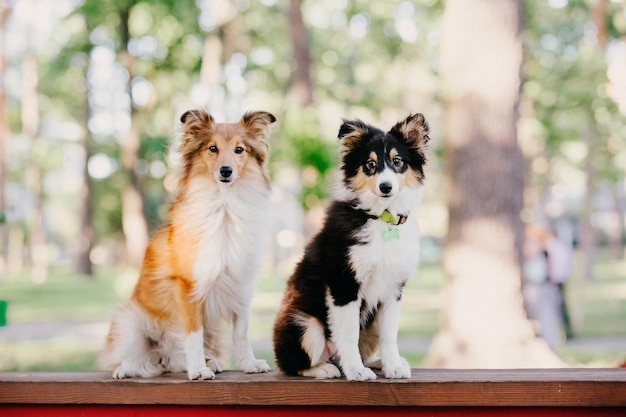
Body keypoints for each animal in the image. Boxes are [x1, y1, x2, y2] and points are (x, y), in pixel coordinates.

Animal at [100, 109, 276, 380]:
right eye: (212, 148)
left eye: (240, 149)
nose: (226, 171)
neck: (225, 205)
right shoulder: (187, 288)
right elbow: (193, 335)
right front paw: (198, 370)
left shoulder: (242, 284)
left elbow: (241, 332)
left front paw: (249, 364)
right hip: (130, 323)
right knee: (135, 359)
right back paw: (125, 369)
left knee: (173, 360)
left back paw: (209, 361)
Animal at [270, 114, 426, 380]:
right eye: (370, 164)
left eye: (398, 161)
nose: (385, 187)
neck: (380, 218)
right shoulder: (344, 283)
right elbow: (349, 333)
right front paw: (356, 371)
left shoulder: (393, 289)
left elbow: (390, 335)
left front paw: (393, 366)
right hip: (304, 323)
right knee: (291, 365)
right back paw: (325, 368)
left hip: (370, 322)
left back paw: (376, 362)